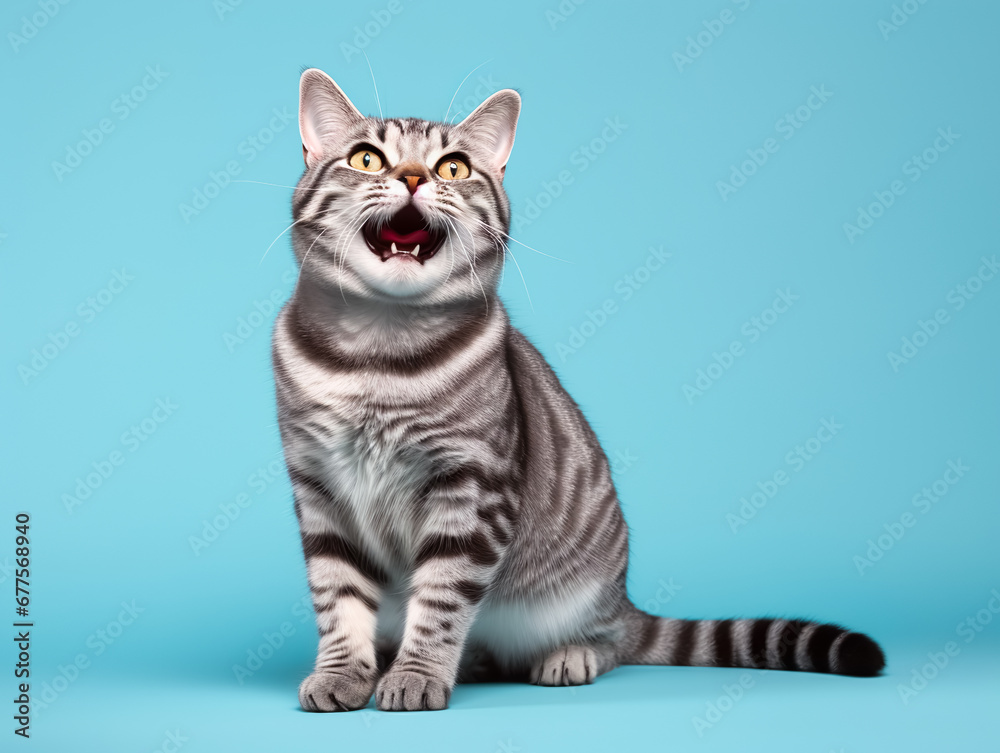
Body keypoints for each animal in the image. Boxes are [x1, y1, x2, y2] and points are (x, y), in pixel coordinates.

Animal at [272, 69, 884, 712]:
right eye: (367, 158)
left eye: (453, 168)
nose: (413, 177)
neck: (377, 357)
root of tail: (624, 600)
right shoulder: (320, 486)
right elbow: (338, 597)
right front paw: (344, 673)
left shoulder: (472, 488)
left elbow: (439, 600)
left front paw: (416, 674)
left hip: (584, 598)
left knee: (611, 642)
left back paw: (569, 655)